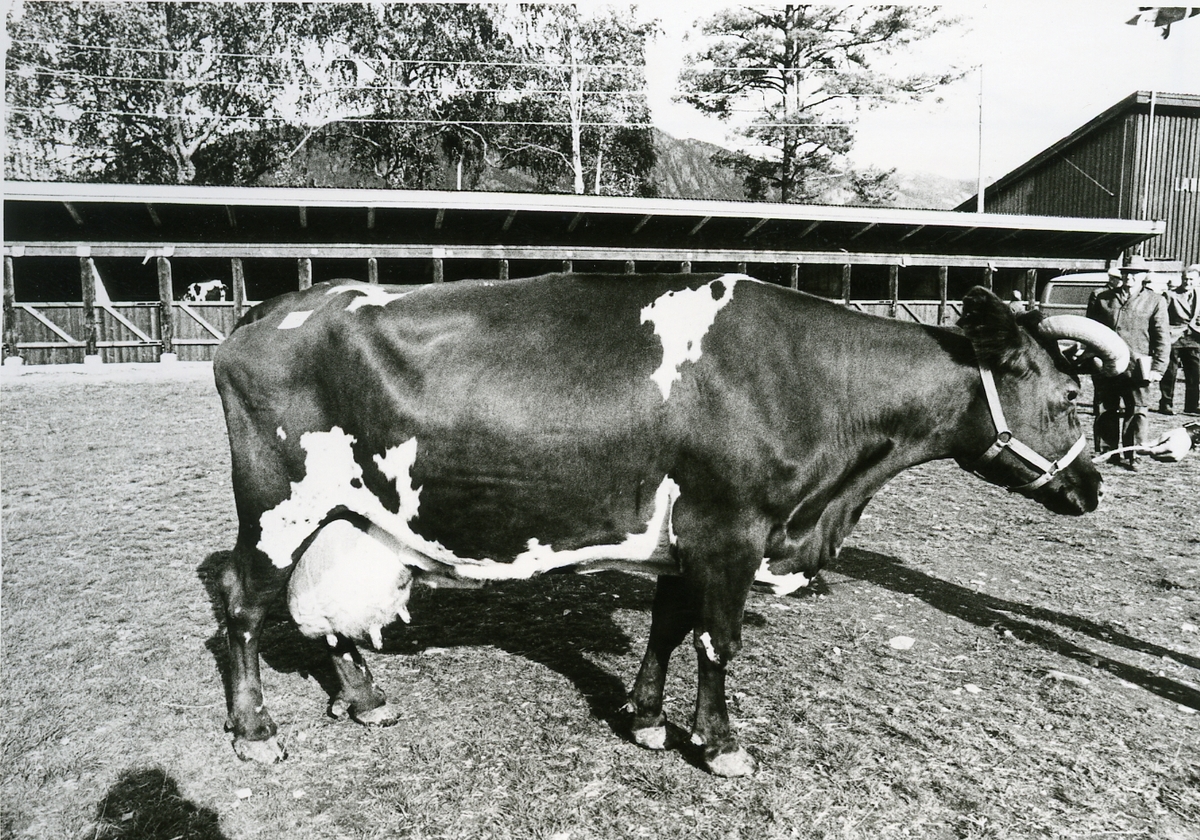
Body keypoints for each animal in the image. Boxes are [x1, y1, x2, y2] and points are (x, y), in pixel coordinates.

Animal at [213, 272, 1123, 777]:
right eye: (1067, 395)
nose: (1092, 485)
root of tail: (276, 306)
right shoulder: (731, 528)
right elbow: (719, 640)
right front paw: (719, 745)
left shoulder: (687, 539)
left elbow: (668, 626)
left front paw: (648, 719)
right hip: (275, 505)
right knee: (242, 609)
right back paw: (256, 731)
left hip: (346, 516)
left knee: (319, 614)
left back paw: (364, 697)